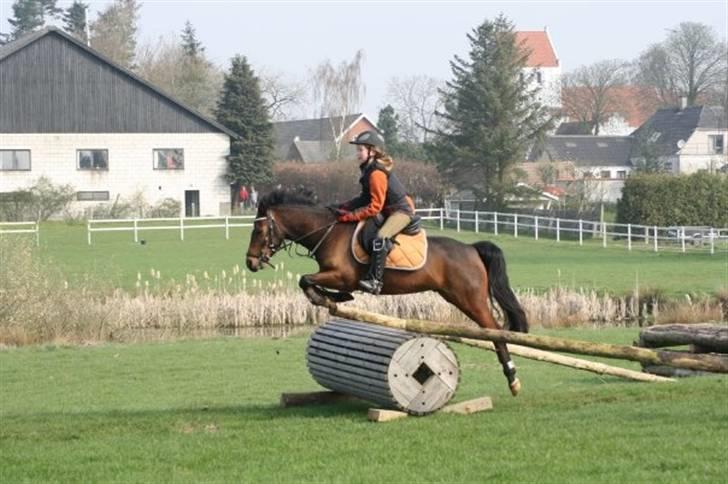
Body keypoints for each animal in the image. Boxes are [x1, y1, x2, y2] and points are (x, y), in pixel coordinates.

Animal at [245, 190, 529, 395]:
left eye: (258, 230)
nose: (250, 263)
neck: (328, 232)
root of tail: (471, 249)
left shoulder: (343, 276)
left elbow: (305, 280)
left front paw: (327, 298)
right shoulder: (335, 276)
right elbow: (308, 282)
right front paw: (334, 299)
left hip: (469, 299)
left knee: (495, 331)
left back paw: (513, 379)